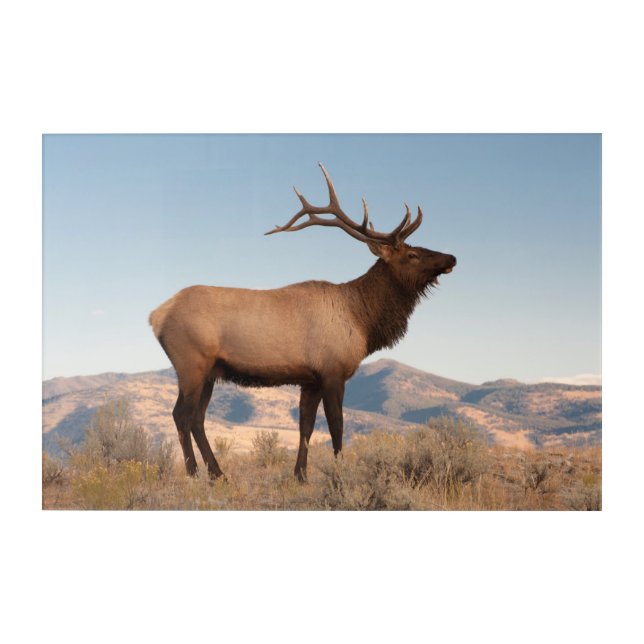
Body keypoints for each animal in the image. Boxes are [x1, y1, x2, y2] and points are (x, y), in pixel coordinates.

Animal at [149, 164, 456, 482]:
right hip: (191, 364)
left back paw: (217, 474)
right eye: (412, 254)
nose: (451, 257)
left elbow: (305, 426)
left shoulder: (310, 380)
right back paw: (194, 473)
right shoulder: (333, 371)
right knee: (181, 415)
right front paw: (339, 474)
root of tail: (156, 316)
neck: (362, 321)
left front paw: (301, 475)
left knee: (197, 418)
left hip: (210, 372)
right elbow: (336, 426)